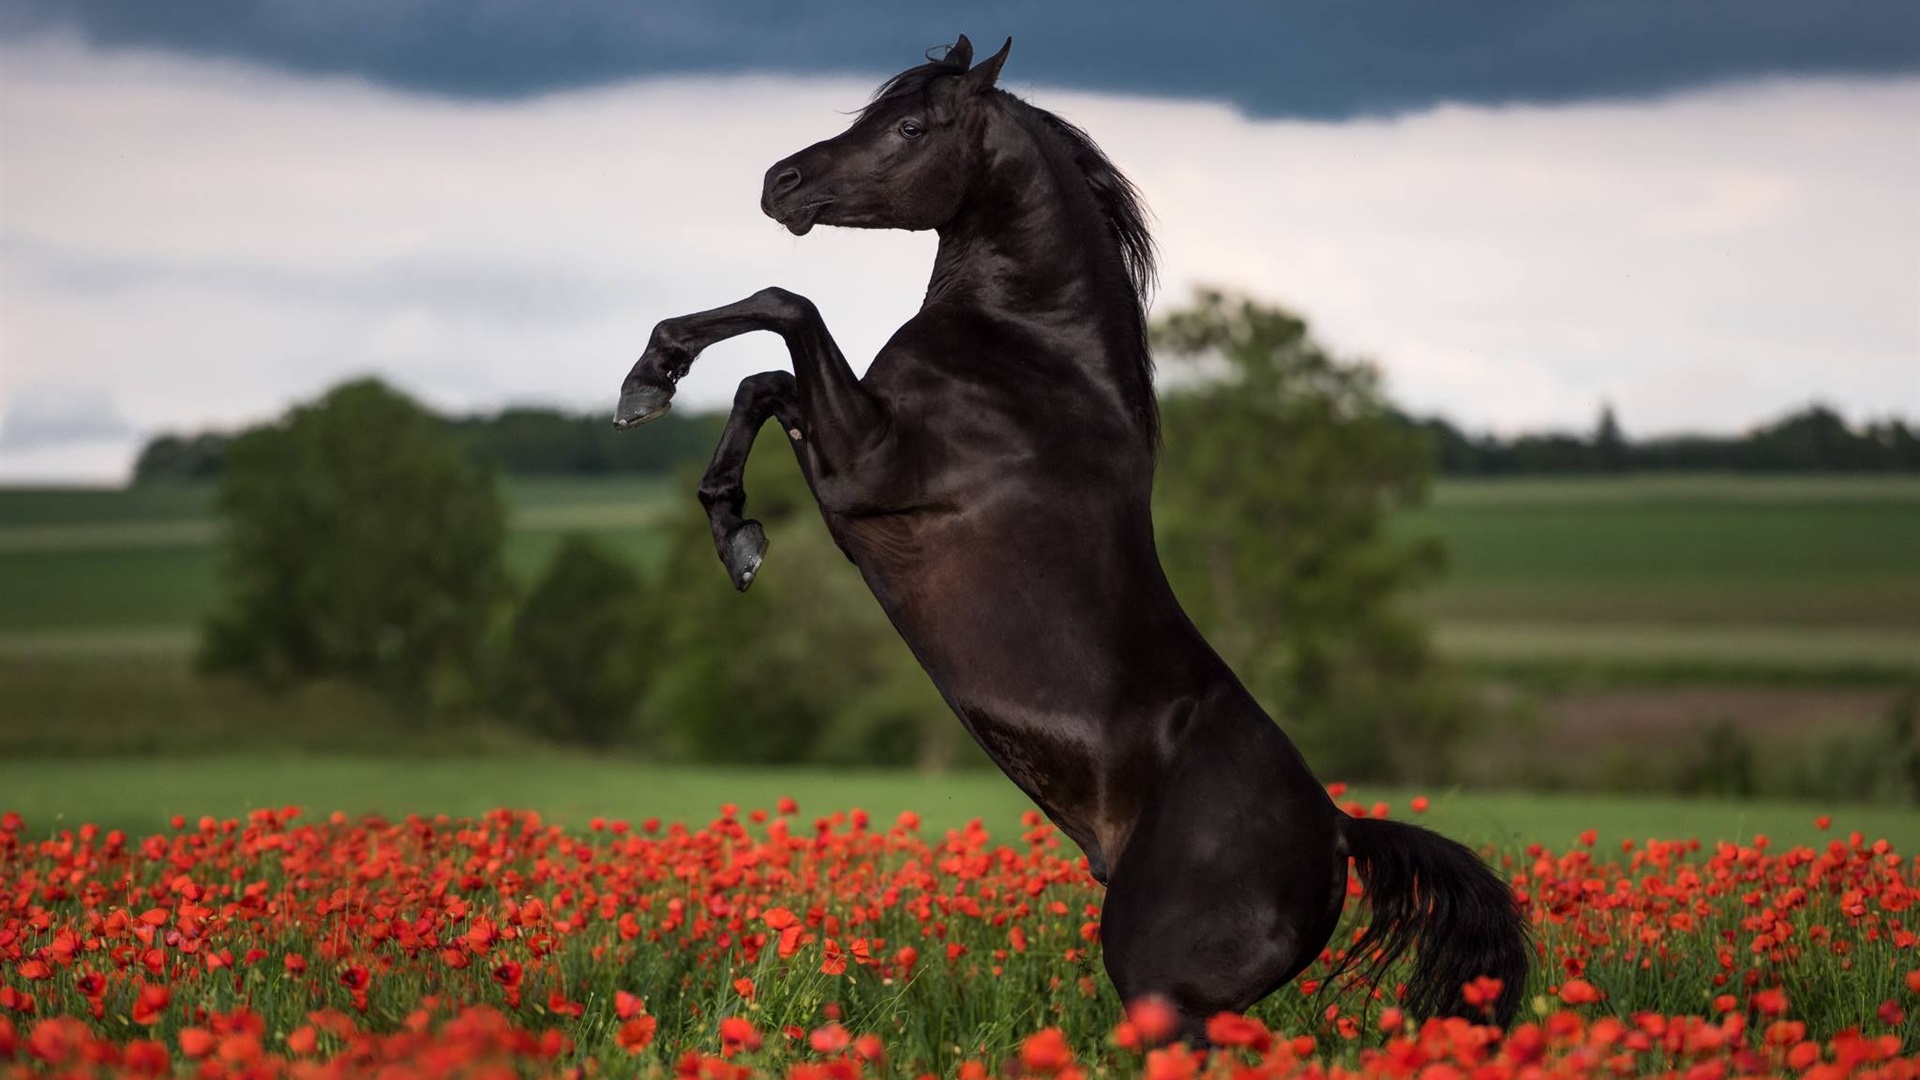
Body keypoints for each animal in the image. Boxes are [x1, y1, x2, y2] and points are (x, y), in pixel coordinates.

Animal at [614, 35, 1528, 1041]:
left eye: (908, 125)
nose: (780, 182)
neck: (1029, 353)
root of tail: (1338, 834)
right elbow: (763, 384)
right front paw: (728, 520)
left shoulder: (865, 466)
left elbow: (787, 310)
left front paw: (653, 377)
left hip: (1159, 984)